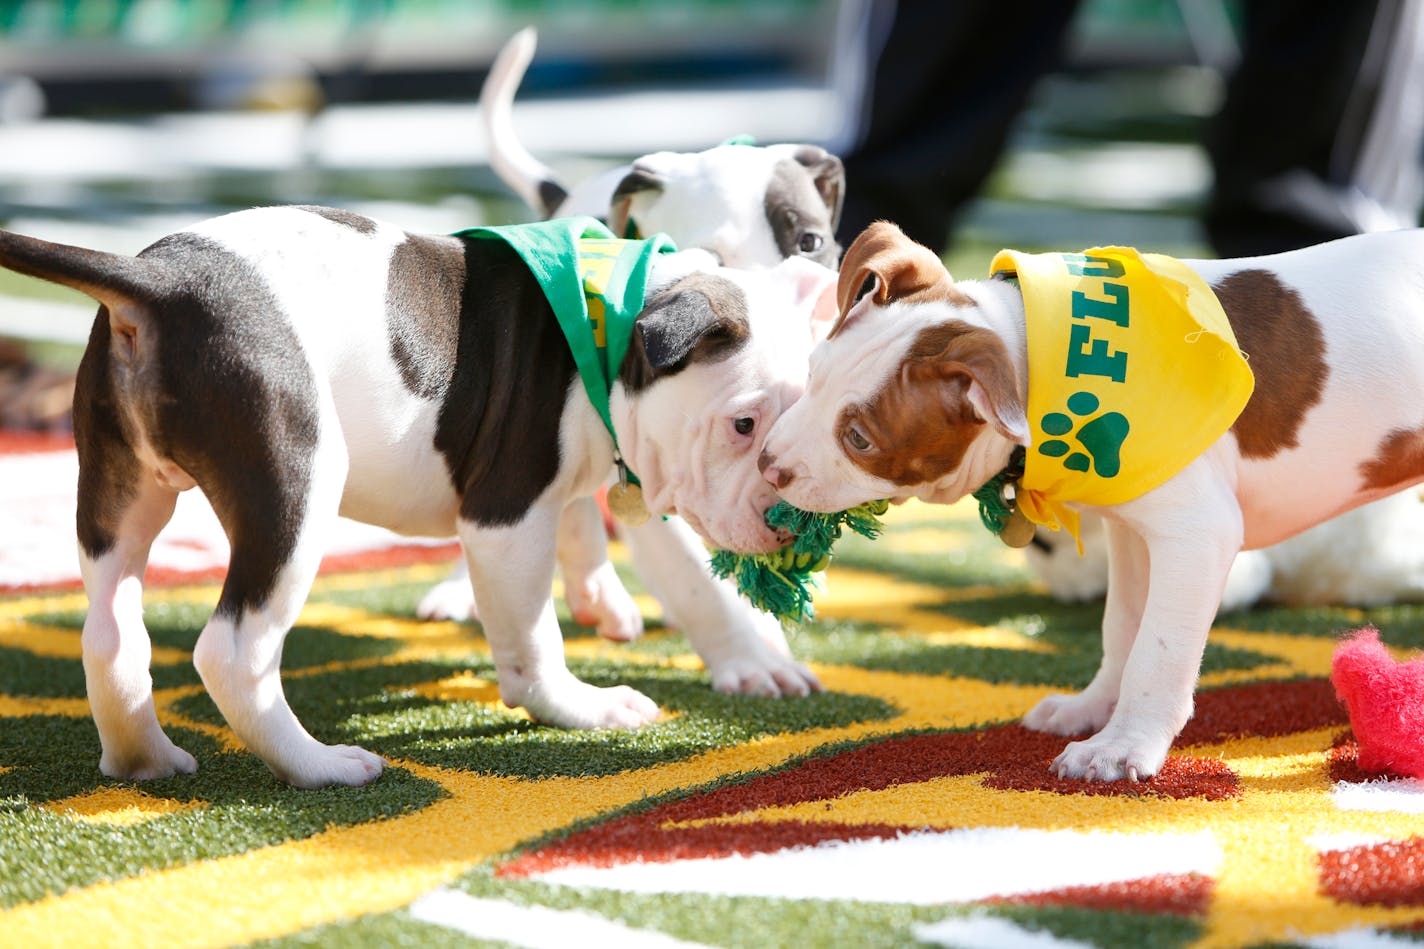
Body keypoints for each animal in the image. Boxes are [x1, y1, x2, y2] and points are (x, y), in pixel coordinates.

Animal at [0, 205, 831, 780]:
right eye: (743, 424)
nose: (790, 515)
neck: (614, 323)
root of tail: (159, 283)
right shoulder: (507, 515)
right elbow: (533, 635)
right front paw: (579, 705)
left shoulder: (570, 484)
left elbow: (602, 539)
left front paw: (618, 606)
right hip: (294, 484)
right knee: (233, 650)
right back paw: (318, 766)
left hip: (120, 488)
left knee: (111, 631)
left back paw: (143, 758)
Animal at [763, 219, 1424, 775]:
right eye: (813, 373)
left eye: (858, 439)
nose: (768, 464)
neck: (1040, 354)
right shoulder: (1134, 530)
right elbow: (1124, 626)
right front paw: (1094, 710)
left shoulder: (1197, 534)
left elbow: (1157, 647)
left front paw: (1124, 745)